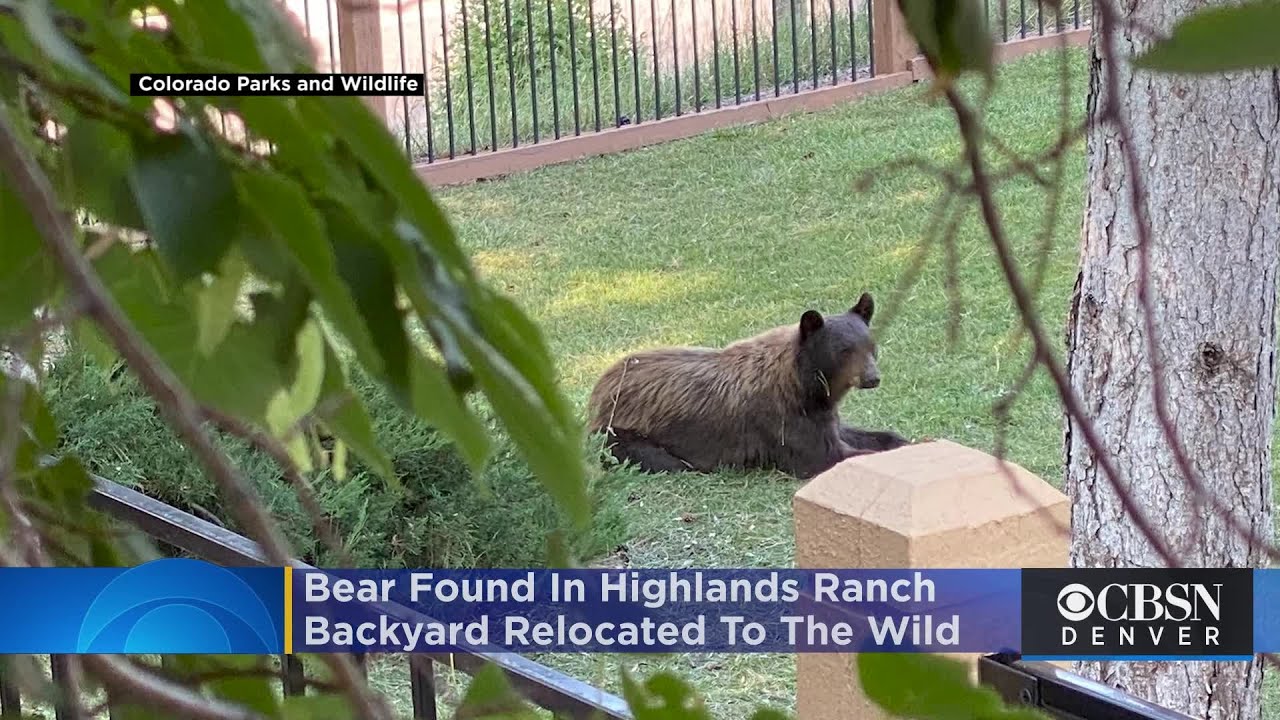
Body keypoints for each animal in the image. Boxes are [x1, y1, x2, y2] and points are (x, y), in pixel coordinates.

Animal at [586, 292, 911, 480]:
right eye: (843, 350)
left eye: (871, 345)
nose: (872, 378)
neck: (802, 384)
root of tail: (598, 389)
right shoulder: (783, 421)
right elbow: (826, 457)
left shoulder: (820, 414)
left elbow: (858, 434)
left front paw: (903, 441)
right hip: (622, 434)